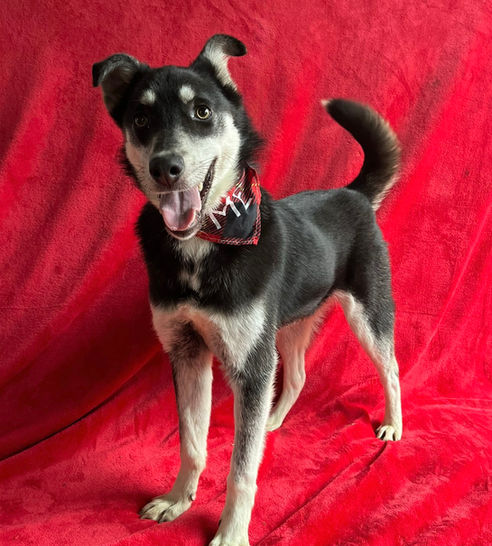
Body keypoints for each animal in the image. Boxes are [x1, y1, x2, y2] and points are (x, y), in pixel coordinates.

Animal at [93, 34, 403, 546]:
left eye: (201, 111)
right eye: (140, 118)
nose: (165, 167)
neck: (207, 237)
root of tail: (353, 193)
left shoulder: (249, 365)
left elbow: (240, 469)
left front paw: (232, 532)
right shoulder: (187, 353)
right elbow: (192, 443)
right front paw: (178, 500)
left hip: (366, 314)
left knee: (391, 368)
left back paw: (393, 426)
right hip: (287, 327)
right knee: (295, 376)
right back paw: (273, 422)